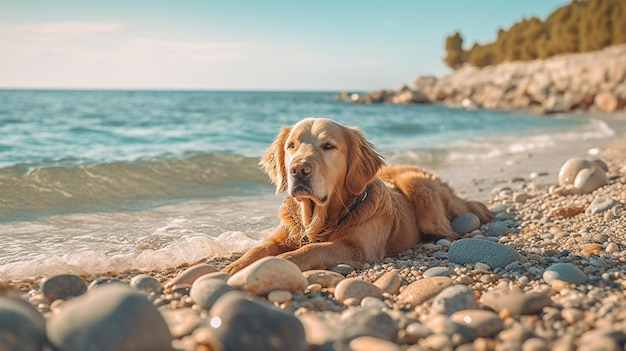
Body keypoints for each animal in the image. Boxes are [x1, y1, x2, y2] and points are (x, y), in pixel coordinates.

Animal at [224, 118, 492, 276]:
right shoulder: (283, 235)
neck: (320, 219)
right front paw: (234, 267)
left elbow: (310, 250)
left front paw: (286, 260)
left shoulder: (357, 249)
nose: (298, 170)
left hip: (419, 189)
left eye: (329, 146)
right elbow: (259, 249)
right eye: (291, 146)